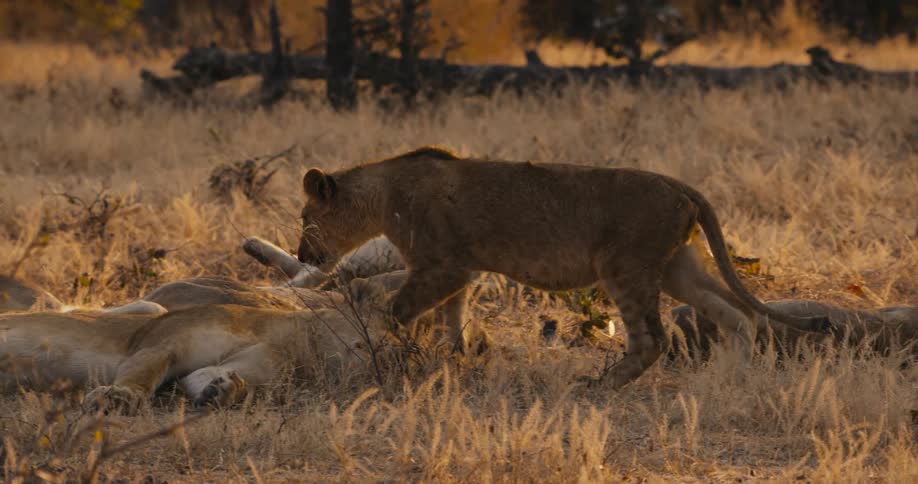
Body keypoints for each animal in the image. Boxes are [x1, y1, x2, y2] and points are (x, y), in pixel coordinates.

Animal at [296, 146, 827, 388]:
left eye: (305, 218)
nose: (302, 255)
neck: (384, 194)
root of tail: (678, 185)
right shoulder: (458, 271)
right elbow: (453, 318)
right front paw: (454, 358)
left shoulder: (440, 267)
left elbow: (395, 313)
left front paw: (385, 359)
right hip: (678, 265)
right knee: (739, 315)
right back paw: (734, 377)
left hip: (625, 268)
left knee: (654, 339)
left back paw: (600, 385)